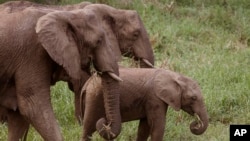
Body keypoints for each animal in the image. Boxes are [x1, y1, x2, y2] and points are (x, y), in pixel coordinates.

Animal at [81, 67, 209, 140]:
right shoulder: (154, 98)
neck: (175, 76)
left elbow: (145, 127)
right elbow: (157, 126)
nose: (195, 123)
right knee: (88, 128)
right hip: (94, 98)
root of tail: (87, 83)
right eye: (193, 98)